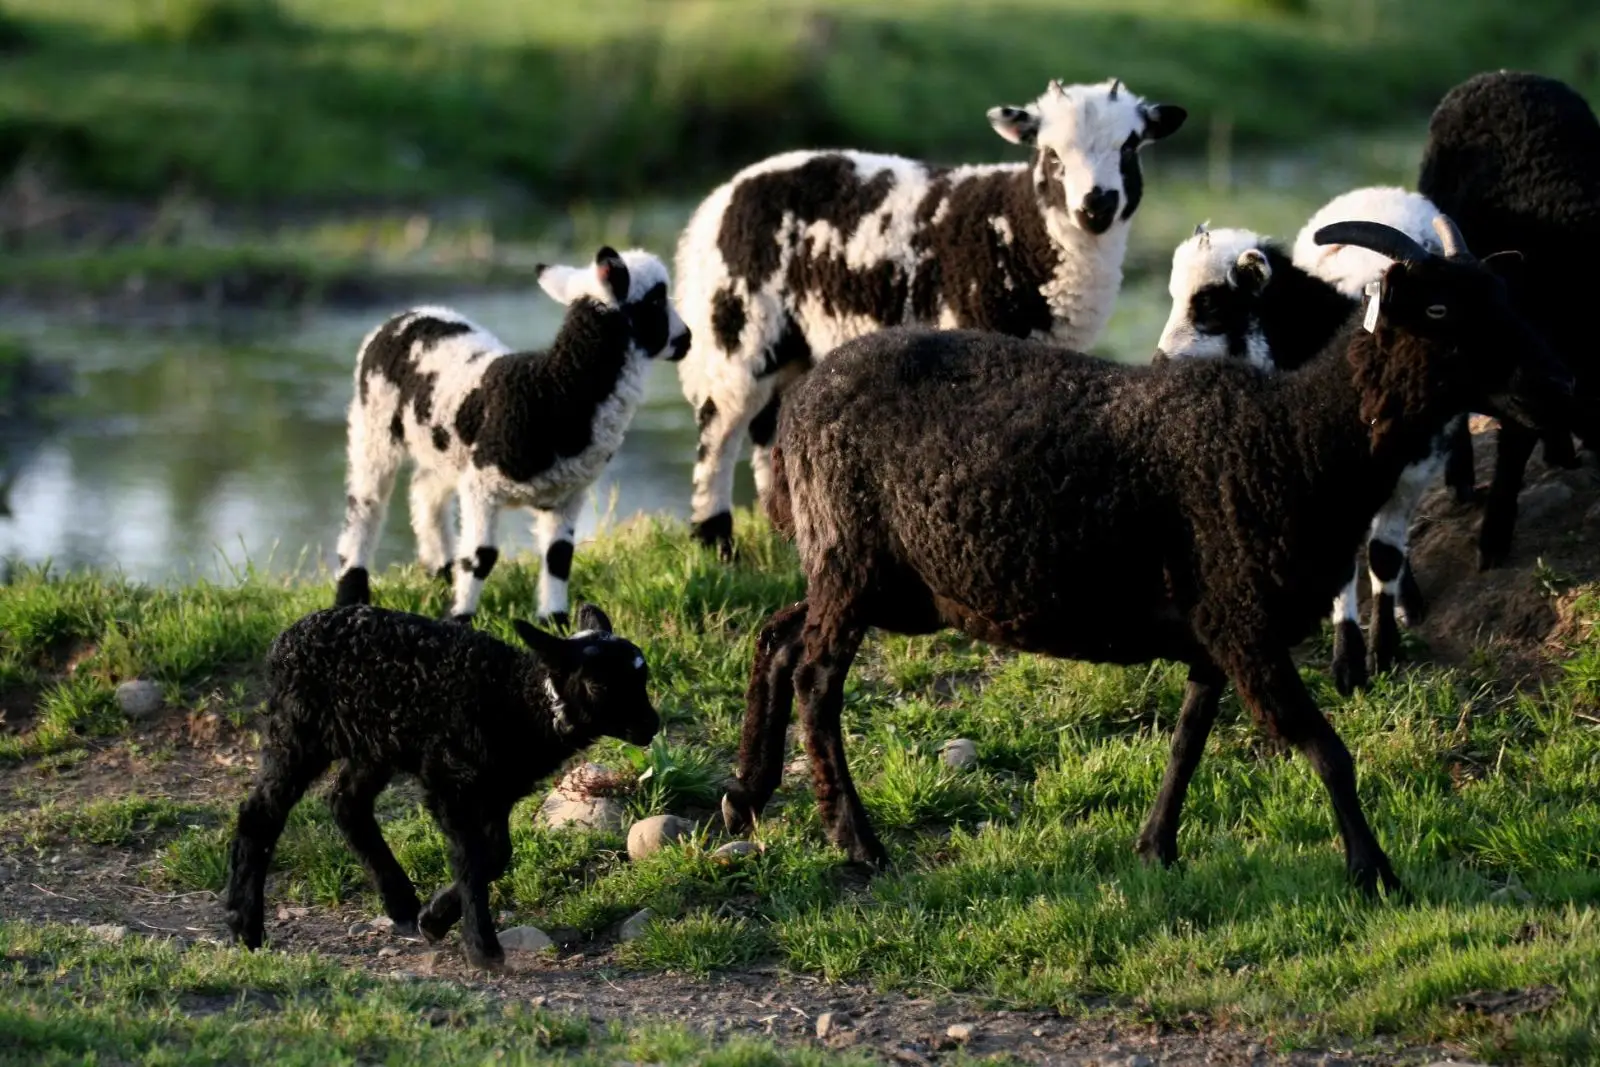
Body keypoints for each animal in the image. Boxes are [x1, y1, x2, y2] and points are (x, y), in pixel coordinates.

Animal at [223, 602, 658, 970]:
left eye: (644, 676)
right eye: (599, 686)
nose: (651, 726)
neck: (518, 701)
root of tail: (288, 636)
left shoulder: (497, 789)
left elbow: (495, 855)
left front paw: (434, 918)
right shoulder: (450, 780)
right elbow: (471, 859)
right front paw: (482, 949)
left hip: (374, 741)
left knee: (346, 802)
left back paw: (400, 903)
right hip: (299, 731)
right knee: (261, 814)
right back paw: (246, 926)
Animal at [332, 247, 690, 625]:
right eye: (656, 300)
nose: (688, 339)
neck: (556, 388)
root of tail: (402, 317)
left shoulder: (565, 495)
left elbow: (559, 557)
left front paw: (555, 621)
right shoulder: (481, 485)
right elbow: (481, 556)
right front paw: (459, 618)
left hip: (444, 449)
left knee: (424, 492)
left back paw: (442, 570)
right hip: (373, 424)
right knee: (366, 505)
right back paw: (351, 591)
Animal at [674, 77, 1187, 556]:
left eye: (1130, 145)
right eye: (1051, 153)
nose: (1096, 204)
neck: (1020, 228)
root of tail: (721, 196)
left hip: (791, 342)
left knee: (767, 427)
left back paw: (784, 532)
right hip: (738, 325)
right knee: (718, 432)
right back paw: (715, 540)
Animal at [1152, 187, 1459, 693]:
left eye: (1211, 305)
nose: (1158, 365)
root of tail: (1383, 191)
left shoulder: (1415, 468)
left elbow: (1384, 555)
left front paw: (1383, 651)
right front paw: (1349, 662)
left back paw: (1407, 600)